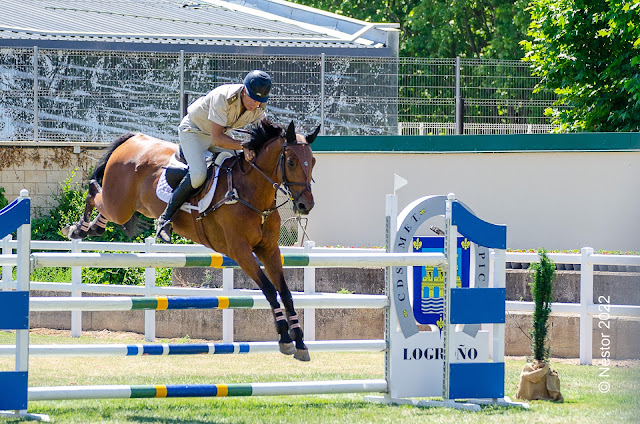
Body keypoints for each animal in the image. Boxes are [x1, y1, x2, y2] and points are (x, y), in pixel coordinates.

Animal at [62, 119, 318, 362]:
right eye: (291, 162)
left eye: (313, 161)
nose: (305, 205)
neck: (251, 192)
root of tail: (134, 138)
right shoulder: (240, 251)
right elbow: (269, 289)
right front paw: (284, 338)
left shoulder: (269, 249)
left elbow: (285, 293)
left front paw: (300, 343)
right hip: (120, 205)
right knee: (93, 191)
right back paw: (77, 229)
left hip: (128, 206)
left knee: (101, 203)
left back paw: (93, 228)